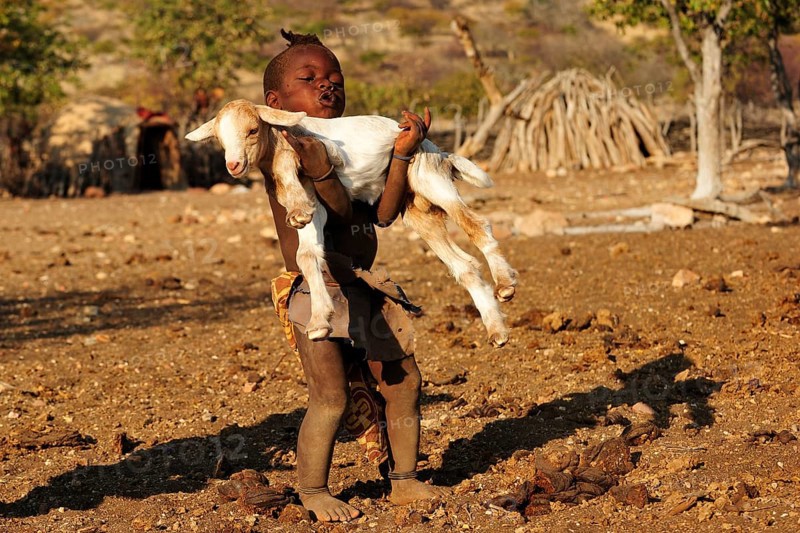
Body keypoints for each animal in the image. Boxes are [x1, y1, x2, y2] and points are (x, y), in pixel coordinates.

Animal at [186, 99, 517, 347]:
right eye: (220, 140)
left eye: (253, 129)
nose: (233, 165)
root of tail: (441, 152)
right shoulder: (317, 203)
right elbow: (306, 255)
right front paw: (319, 321)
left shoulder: (321, 155)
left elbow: (293, 167)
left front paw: (296, 209)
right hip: (418, 211)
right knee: (464, 265)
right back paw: (497, 329)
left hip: (429, 176)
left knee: (476, 224)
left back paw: (505, 283)